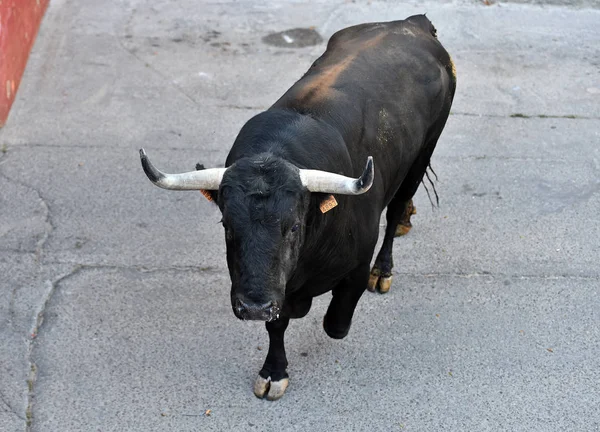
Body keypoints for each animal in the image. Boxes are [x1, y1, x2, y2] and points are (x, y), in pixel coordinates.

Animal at [142, 16, 454, 402]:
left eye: (293, 227)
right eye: (227, 226)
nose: (253, 307)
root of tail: (412, 23)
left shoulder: (354, 264)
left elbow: (336, 323)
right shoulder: (277, 290)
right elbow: (278, 324)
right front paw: (273, 372)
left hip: (423, 151)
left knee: (396, 207)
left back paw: (385, 264)